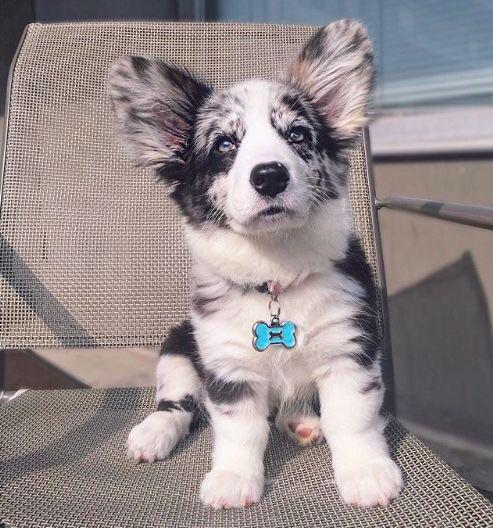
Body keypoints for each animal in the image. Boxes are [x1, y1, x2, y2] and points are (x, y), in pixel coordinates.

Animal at [107, 19, 400, 508]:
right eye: (225, 145)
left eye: (297, 135)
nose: (269, 176)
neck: (276, 273)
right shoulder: (228, 367)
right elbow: (239, 431)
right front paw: (232, 479)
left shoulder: (349, 350)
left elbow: (352, 419)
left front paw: (366, 472)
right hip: (178, 347)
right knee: (180, 403)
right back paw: (153, 432)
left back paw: (302, 421)